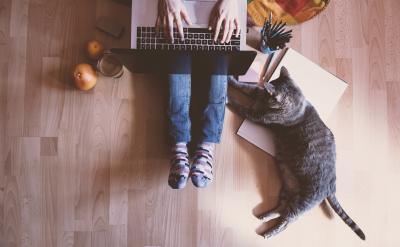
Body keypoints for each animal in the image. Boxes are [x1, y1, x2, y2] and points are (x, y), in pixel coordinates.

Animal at [228, 66, 366, 240]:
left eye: (269, 96)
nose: (265, 98)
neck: (297, 105)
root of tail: (332, 185)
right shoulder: (256, 92)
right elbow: (245, 86)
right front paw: (230, 80)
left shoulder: (257, 115)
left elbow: (240, 106)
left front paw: (227, 98)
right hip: (288, 188)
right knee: (282, 209)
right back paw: (265, 216)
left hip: (303, 202)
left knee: (288, 220)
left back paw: (269, 233)